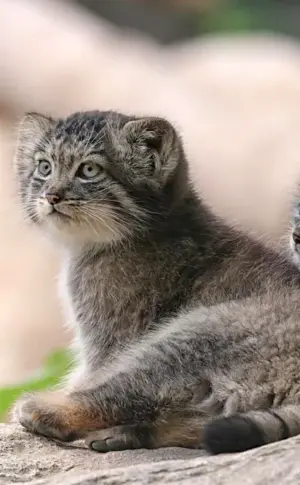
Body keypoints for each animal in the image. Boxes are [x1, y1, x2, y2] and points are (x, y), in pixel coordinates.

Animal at [12, 110, 300, 454]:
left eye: (89, 170)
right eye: (45, 167)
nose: (51, 196)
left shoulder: (108, 342)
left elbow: (88, 378)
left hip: (198, 334)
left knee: (120, 393)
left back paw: (49, 411)